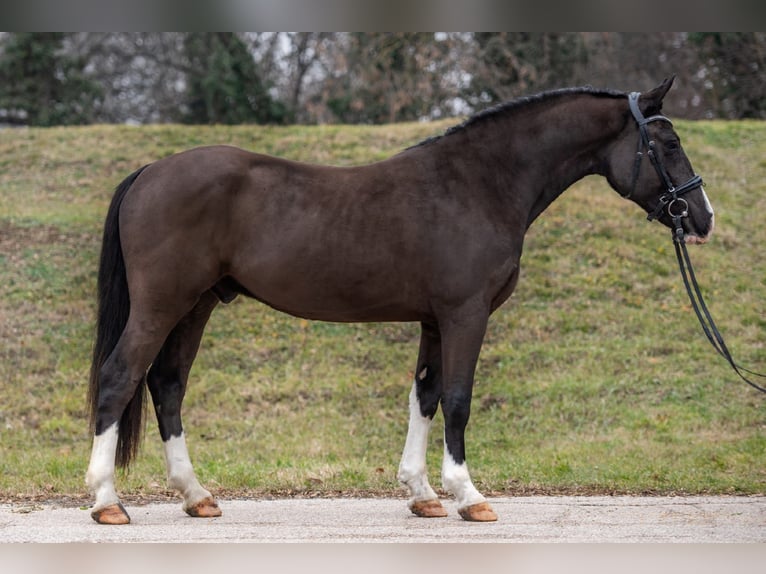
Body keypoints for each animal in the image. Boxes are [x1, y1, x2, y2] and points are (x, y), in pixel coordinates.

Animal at [87, 77, 716, 528]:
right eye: (668, 144)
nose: (703, 218)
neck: (478, 184)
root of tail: (151, 171)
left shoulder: (435, 320)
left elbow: (426, 396)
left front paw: (423, 494)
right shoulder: (466, 314)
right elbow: (458, 400)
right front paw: (469, 496)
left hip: (196, 306)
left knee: (167, 384)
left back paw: (197, 496)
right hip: (163, 303)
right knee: (120, 379)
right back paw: (106, 502)